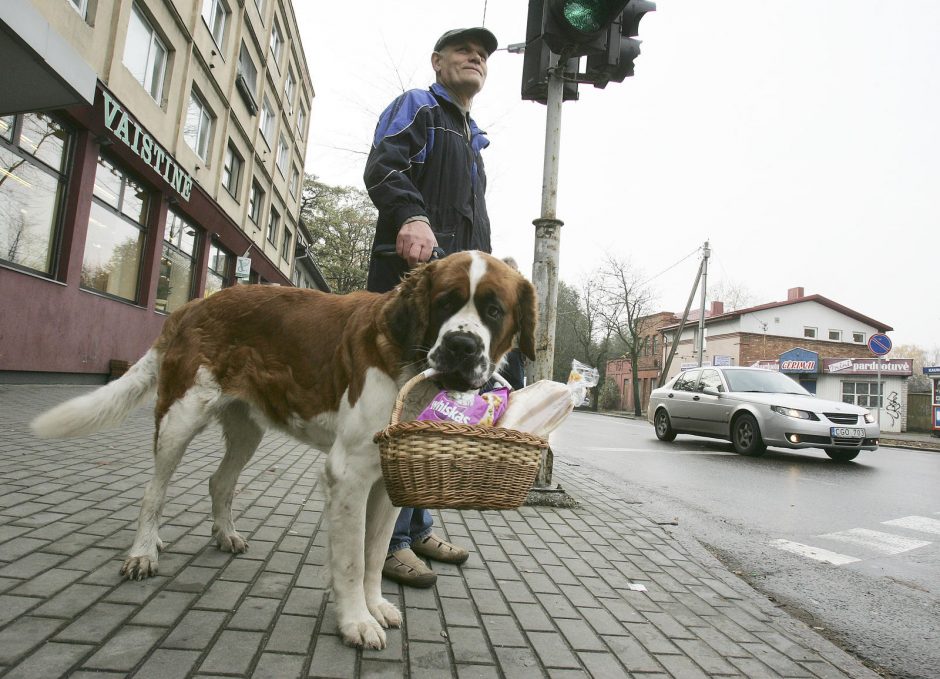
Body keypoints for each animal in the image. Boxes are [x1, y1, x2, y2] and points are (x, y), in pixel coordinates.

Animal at [31, 252, 536, 652]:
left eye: (493, 310)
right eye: (446, 302)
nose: (461, 345)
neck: (409, 358)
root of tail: (193, 304)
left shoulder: (388, 479)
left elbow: (375, 553)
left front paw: (375, 605)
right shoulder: (348, 474)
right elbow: (352, 559)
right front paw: (356, 622)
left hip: (245, 428)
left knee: (219, 481)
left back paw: (225, 535)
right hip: (179, 418)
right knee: (153, 491)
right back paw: (142, 551)